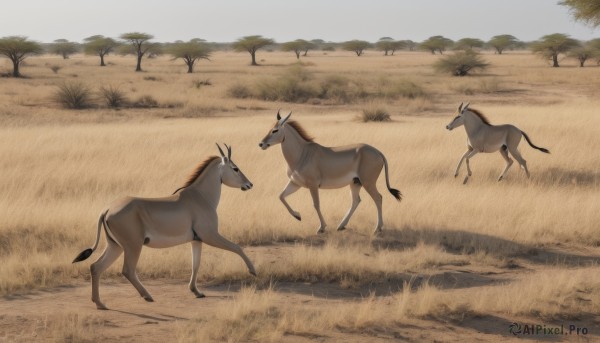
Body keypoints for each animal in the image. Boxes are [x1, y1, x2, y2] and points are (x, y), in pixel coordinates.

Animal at [72, 144, 255, 310]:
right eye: (235, 168)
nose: (249, 184)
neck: (200, 196)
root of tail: (108, 209)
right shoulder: (211, 236)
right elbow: (237, 247)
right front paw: (253, 271)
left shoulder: (197, 240)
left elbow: (196, 264)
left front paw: (196, 291)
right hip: (133, 246)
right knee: (127, 270)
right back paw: (147, 296)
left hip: (115, 246)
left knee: (96, 267)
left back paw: (100, 303)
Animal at [256, 111, 400, 235]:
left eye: (275, 130)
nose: (261, 144)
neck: (302, 153)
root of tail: (377, 151)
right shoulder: (295, 183)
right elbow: (281, 196)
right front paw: (297, 216)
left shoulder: (313, 185)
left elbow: (316, 204)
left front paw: (322, 227)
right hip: (355, 183)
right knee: (356, 201)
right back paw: (341, 225)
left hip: (368, 183)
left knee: (378, 198)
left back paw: (377, 228)